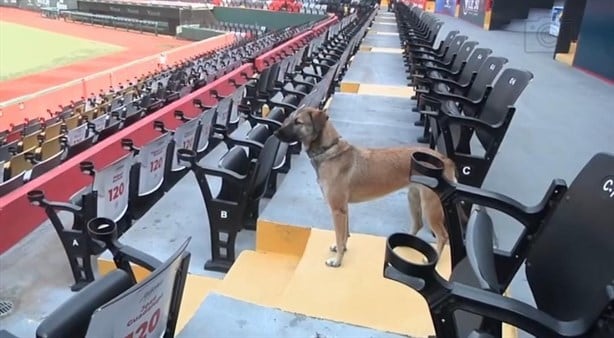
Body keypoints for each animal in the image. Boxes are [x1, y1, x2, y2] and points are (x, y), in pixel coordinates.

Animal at [274, 107, 458, 268]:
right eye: (290, 118)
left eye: (298, 122)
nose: (275, 133)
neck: (329, 151)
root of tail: (446, 160)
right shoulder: (344, 208)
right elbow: (344, 235)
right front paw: (342, 249)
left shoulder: (337, 209)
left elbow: (340, 235)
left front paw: (337, 261)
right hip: (413, 197)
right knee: (418, 224)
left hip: (430, 206)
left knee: (443, 236)